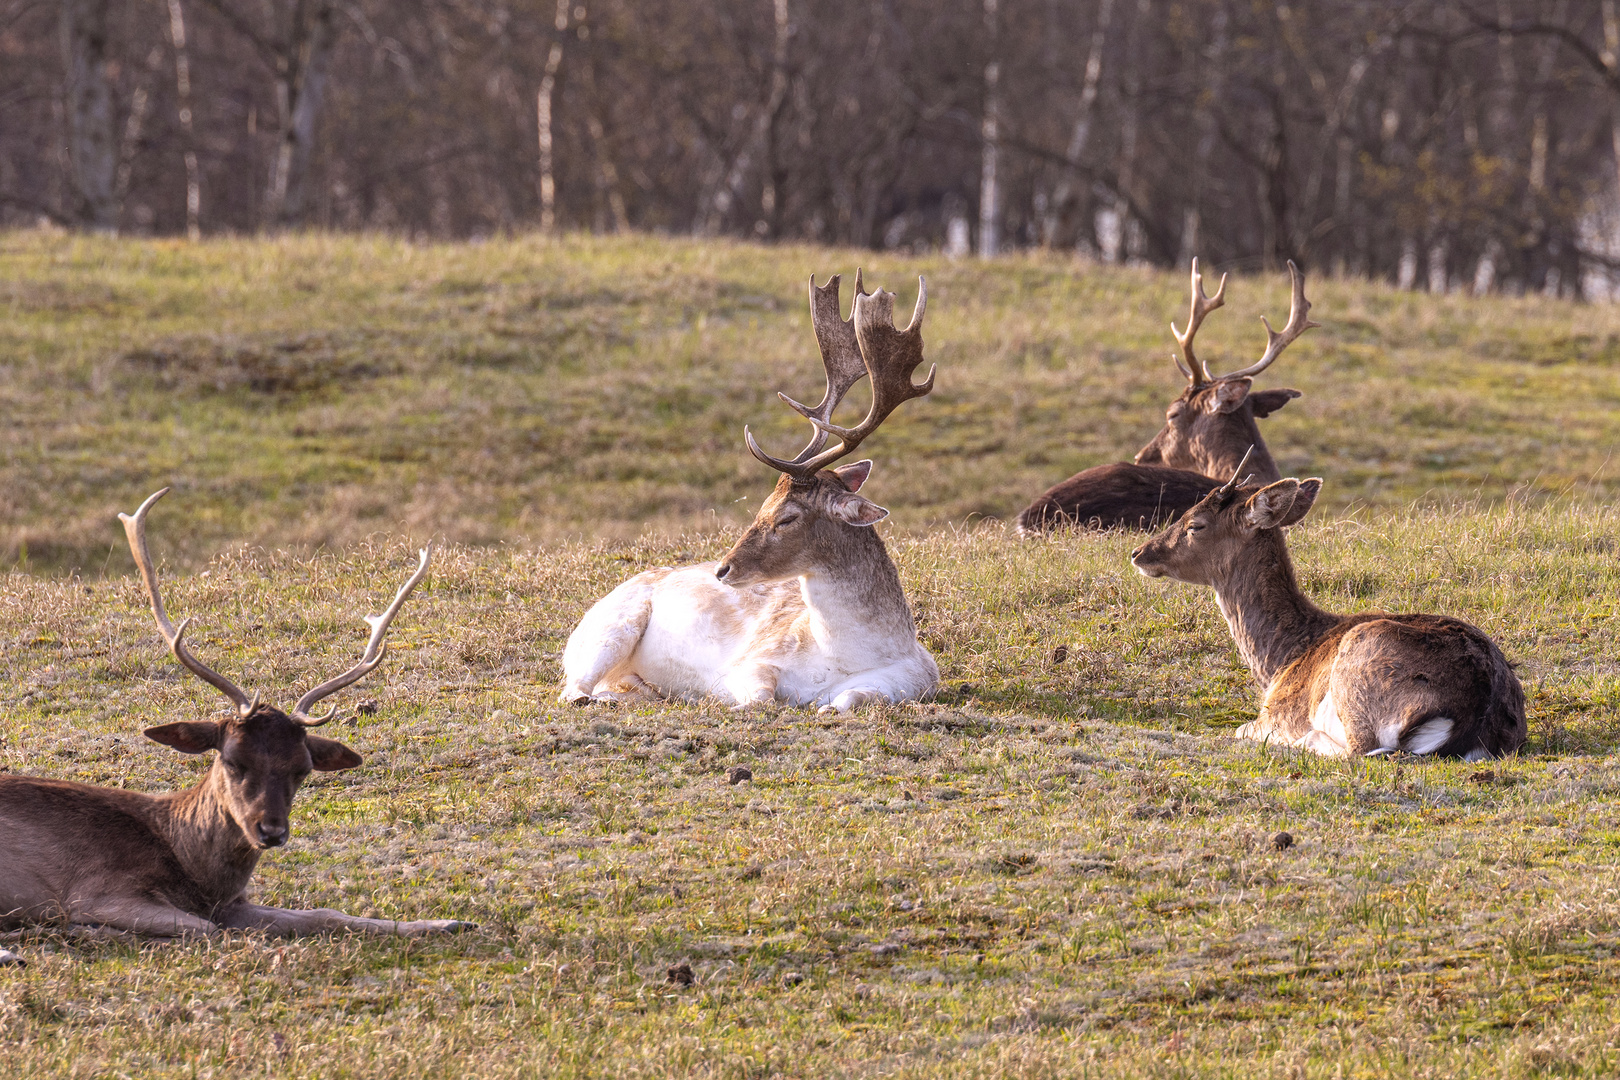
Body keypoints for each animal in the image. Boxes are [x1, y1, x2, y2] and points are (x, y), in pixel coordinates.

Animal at [0, 488, 469, 945]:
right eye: (231, 759)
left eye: (303, 769)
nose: (271, 831)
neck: (197, 878)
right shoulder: (97, 890)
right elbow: (205, 929)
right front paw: (86, 930)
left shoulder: (233, 904)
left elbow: (325, 914)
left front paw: (446, 923)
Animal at [1134, 456, 1522, 761]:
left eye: (1194, 524)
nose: (1139, 552)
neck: (1279, 663)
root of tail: (1473, 717)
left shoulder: (1276, 713)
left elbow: (1241, 729)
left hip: (1358, 675)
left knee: (1359, 748)